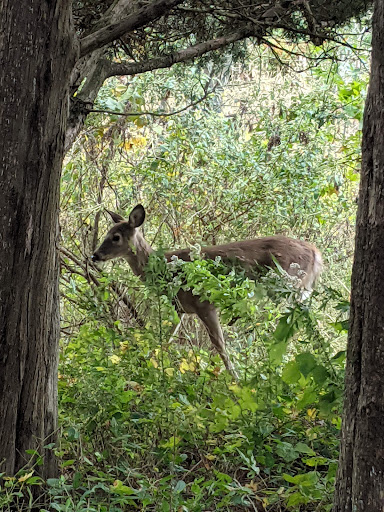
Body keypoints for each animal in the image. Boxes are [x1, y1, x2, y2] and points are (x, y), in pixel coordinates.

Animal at [91, 204, 322, 380]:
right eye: (106, 233)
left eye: (116, 237)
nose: (95, 255)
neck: (166, 269)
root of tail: (315, 253)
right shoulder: (181, 308)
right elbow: (167, 338)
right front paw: (154, 366)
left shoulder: (204, 304)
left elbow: (219, 345)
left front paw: (234, 380)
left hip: (286, 285)